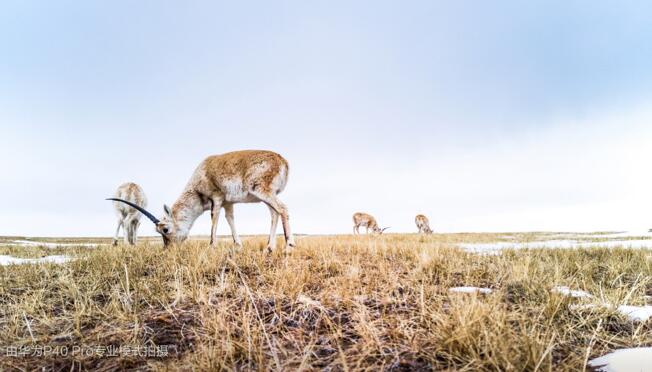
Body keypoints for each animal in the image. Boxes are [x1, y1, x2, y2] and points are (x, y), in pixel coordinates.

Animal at [109, 149, 296, 253]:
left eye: (165, 229)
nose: (168, 250)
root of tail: (282, 160)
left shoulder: (217, 198)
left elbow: (214, 219)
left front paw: (211, 246)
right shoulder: (228, 203)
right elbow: (230, 220)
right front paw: (237, 245)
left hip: (262, 191)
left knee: (283, 208)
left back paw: (289, 246)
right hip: (265, 196)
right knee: (274, 213)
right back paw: (270, 248)